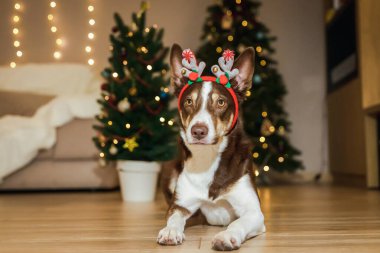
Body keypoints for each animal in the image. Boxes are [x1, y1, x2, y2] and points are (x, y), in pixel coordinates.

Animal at [156, 44, 266, 251]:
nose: (198, 131)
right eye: (188, 101)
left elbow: (238, 222)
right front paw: (170, 231)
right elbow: (174, 218)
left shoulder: (254, 212)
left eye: (221, 102)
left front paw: (227, 236)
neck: (208, 158)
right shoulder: (181, 206)